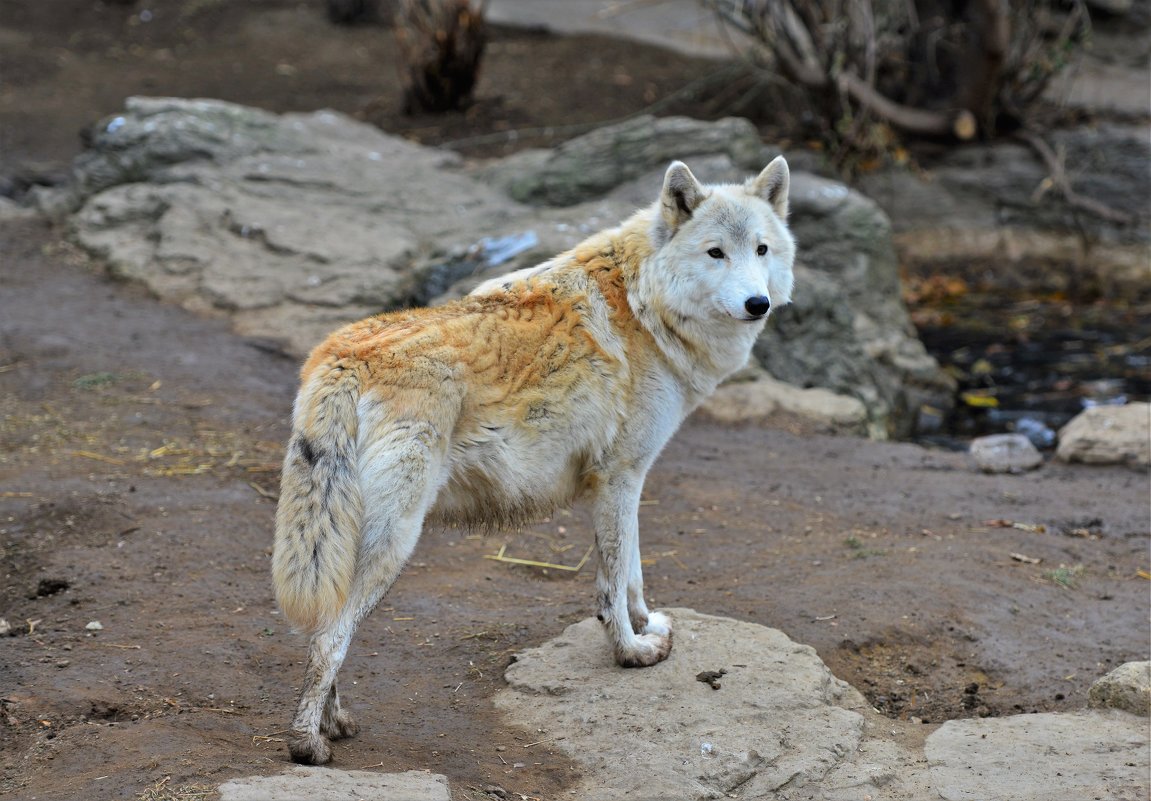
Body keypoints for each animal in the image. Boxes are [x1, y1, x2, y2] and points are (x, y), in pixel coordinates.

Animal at [271, 157, 791, 764]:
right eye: (715, 253)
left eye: (761, 249)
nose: (758, 303)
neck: (644, 304)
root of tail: (340, 356)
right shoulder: (618, 477)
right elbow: (612, 585)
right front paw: (632, 651)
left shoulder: (630, 478)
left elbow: (634, 573)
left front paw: (648, 625)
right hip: (393, 541)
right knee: (331, 636)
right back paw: (307, 743)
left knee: (325, 630)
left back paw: (335, 723)